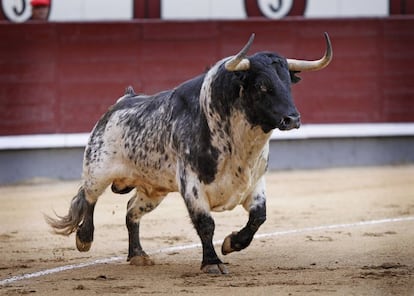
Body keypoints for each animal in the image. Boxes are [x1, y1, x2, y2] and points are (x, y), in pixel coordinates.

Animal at [45, 31, 332, 272]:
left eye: (288, 83)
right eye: (262, 85)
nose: (292, 119)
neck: (239, 145)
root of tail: (121, 101)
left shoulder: (255, 182)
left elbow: (258, 217)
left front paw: (232, 243)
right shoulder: (192, 185)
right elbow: (206, 224)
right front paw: (212, 263)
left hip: (153, 189)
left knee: (130, 211)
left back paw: (138, 255)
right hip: (98, 169)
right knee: (88, 197)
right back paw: (84, 239)